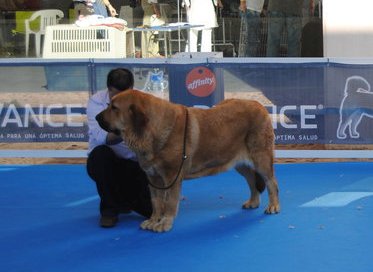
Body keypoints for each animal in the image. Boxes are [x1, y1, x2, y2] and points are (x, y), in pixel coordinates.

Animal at [96, 88, 280, 232]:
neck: (151, 130)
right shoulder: (153, 179)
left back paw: (273, 206)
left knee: (271, 182)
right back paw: (253, 202)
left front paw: (165, 223)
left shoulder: (171, 178)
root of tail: (259, 105)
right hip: (239, 163)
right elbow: (156, 203)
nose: (97, 117)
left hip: (261, 158)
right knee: (252, 181)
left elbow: (169, 202)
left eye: (114, 108)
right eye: (109, 105)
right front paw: (153, 220)